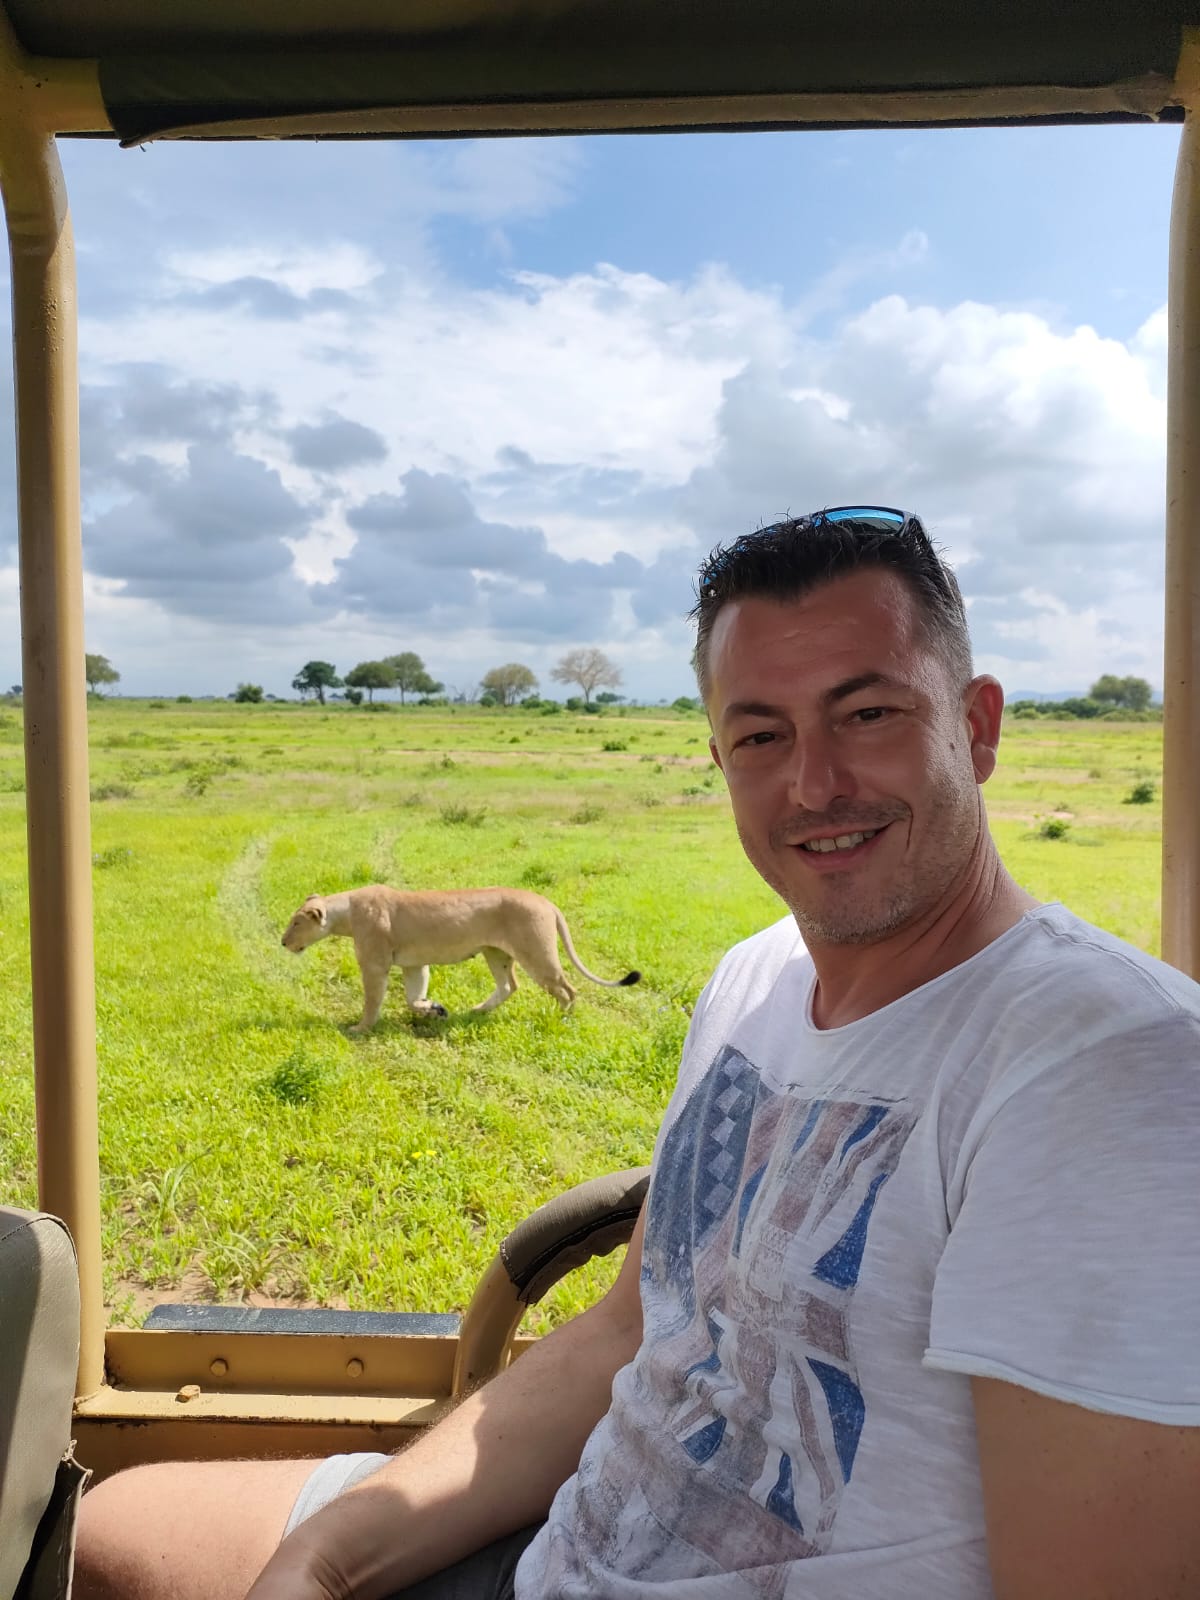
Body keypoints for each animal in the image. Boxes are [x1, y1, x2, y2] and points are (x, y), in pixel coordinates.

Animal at [280, 885, 640, 1033]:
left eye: (296, 923)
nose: (283, 942)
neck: (346, 913)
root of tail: (547, 902)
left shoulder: (375, 964)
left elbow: (372, 1000)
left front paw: (359, 1028)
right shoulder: (414, 963)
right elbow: (413, 998)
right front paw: (435, 1010)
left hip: (536, 952)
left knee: (566, 989)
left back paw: (560, 1019)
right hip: (495, 952)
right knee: (509, 986)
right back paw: (477, 1011)